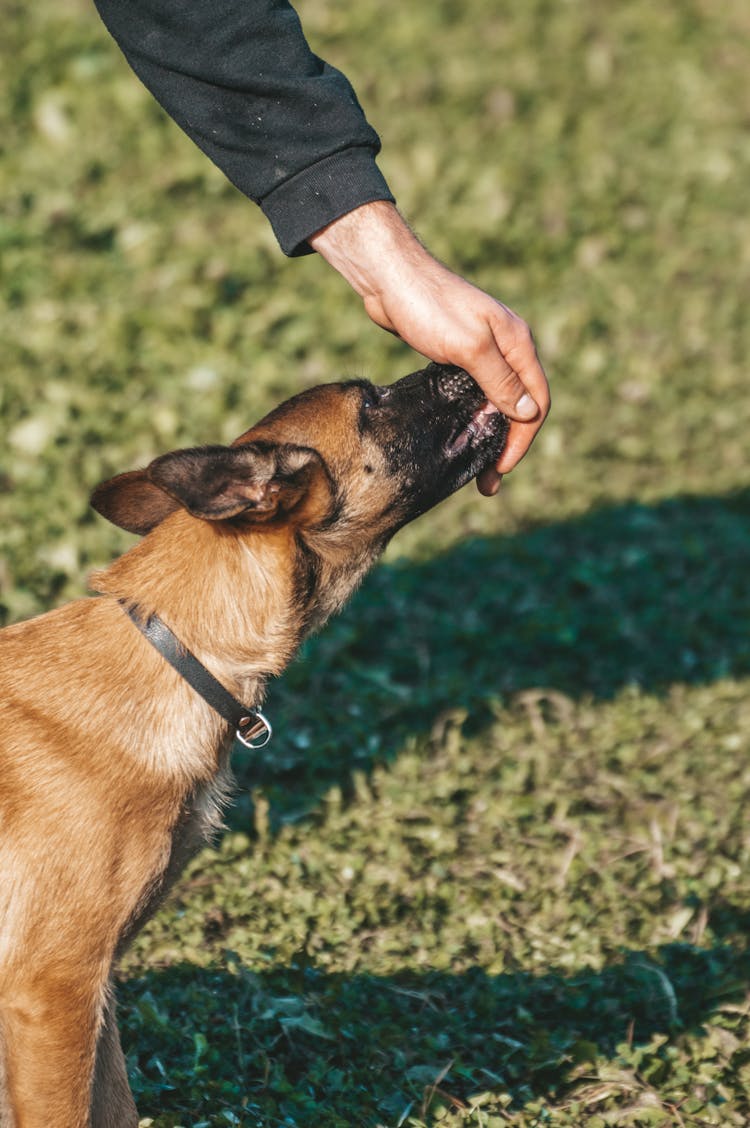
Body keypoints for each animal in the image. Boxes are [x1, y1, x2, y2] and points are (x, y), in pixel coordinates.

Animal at [0, 363, 509, 1128]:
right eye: (371, 401)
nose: (459, 368)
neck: (176, 652)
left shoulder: (93, 991)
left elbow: (116, 1106)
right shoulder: (53, 991)